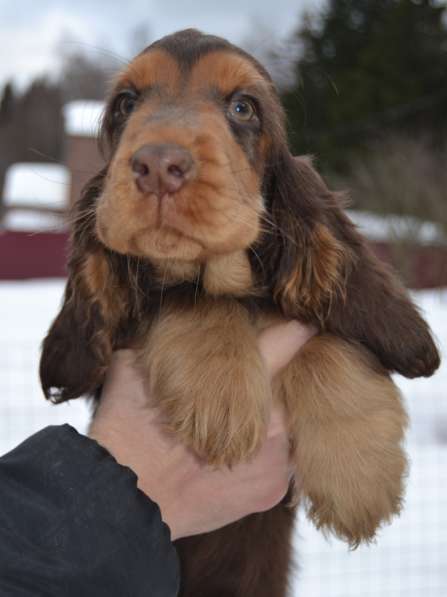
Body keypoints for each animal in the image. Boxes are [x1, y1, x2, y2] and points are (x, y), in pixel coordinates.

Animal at [41, 29, 440, 596]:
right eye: (126, 103)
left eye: (243, 107)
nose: (157, 165)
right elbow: (188, 297)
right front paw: (220, 397)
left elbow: (325, 336)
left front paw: (358, 478)